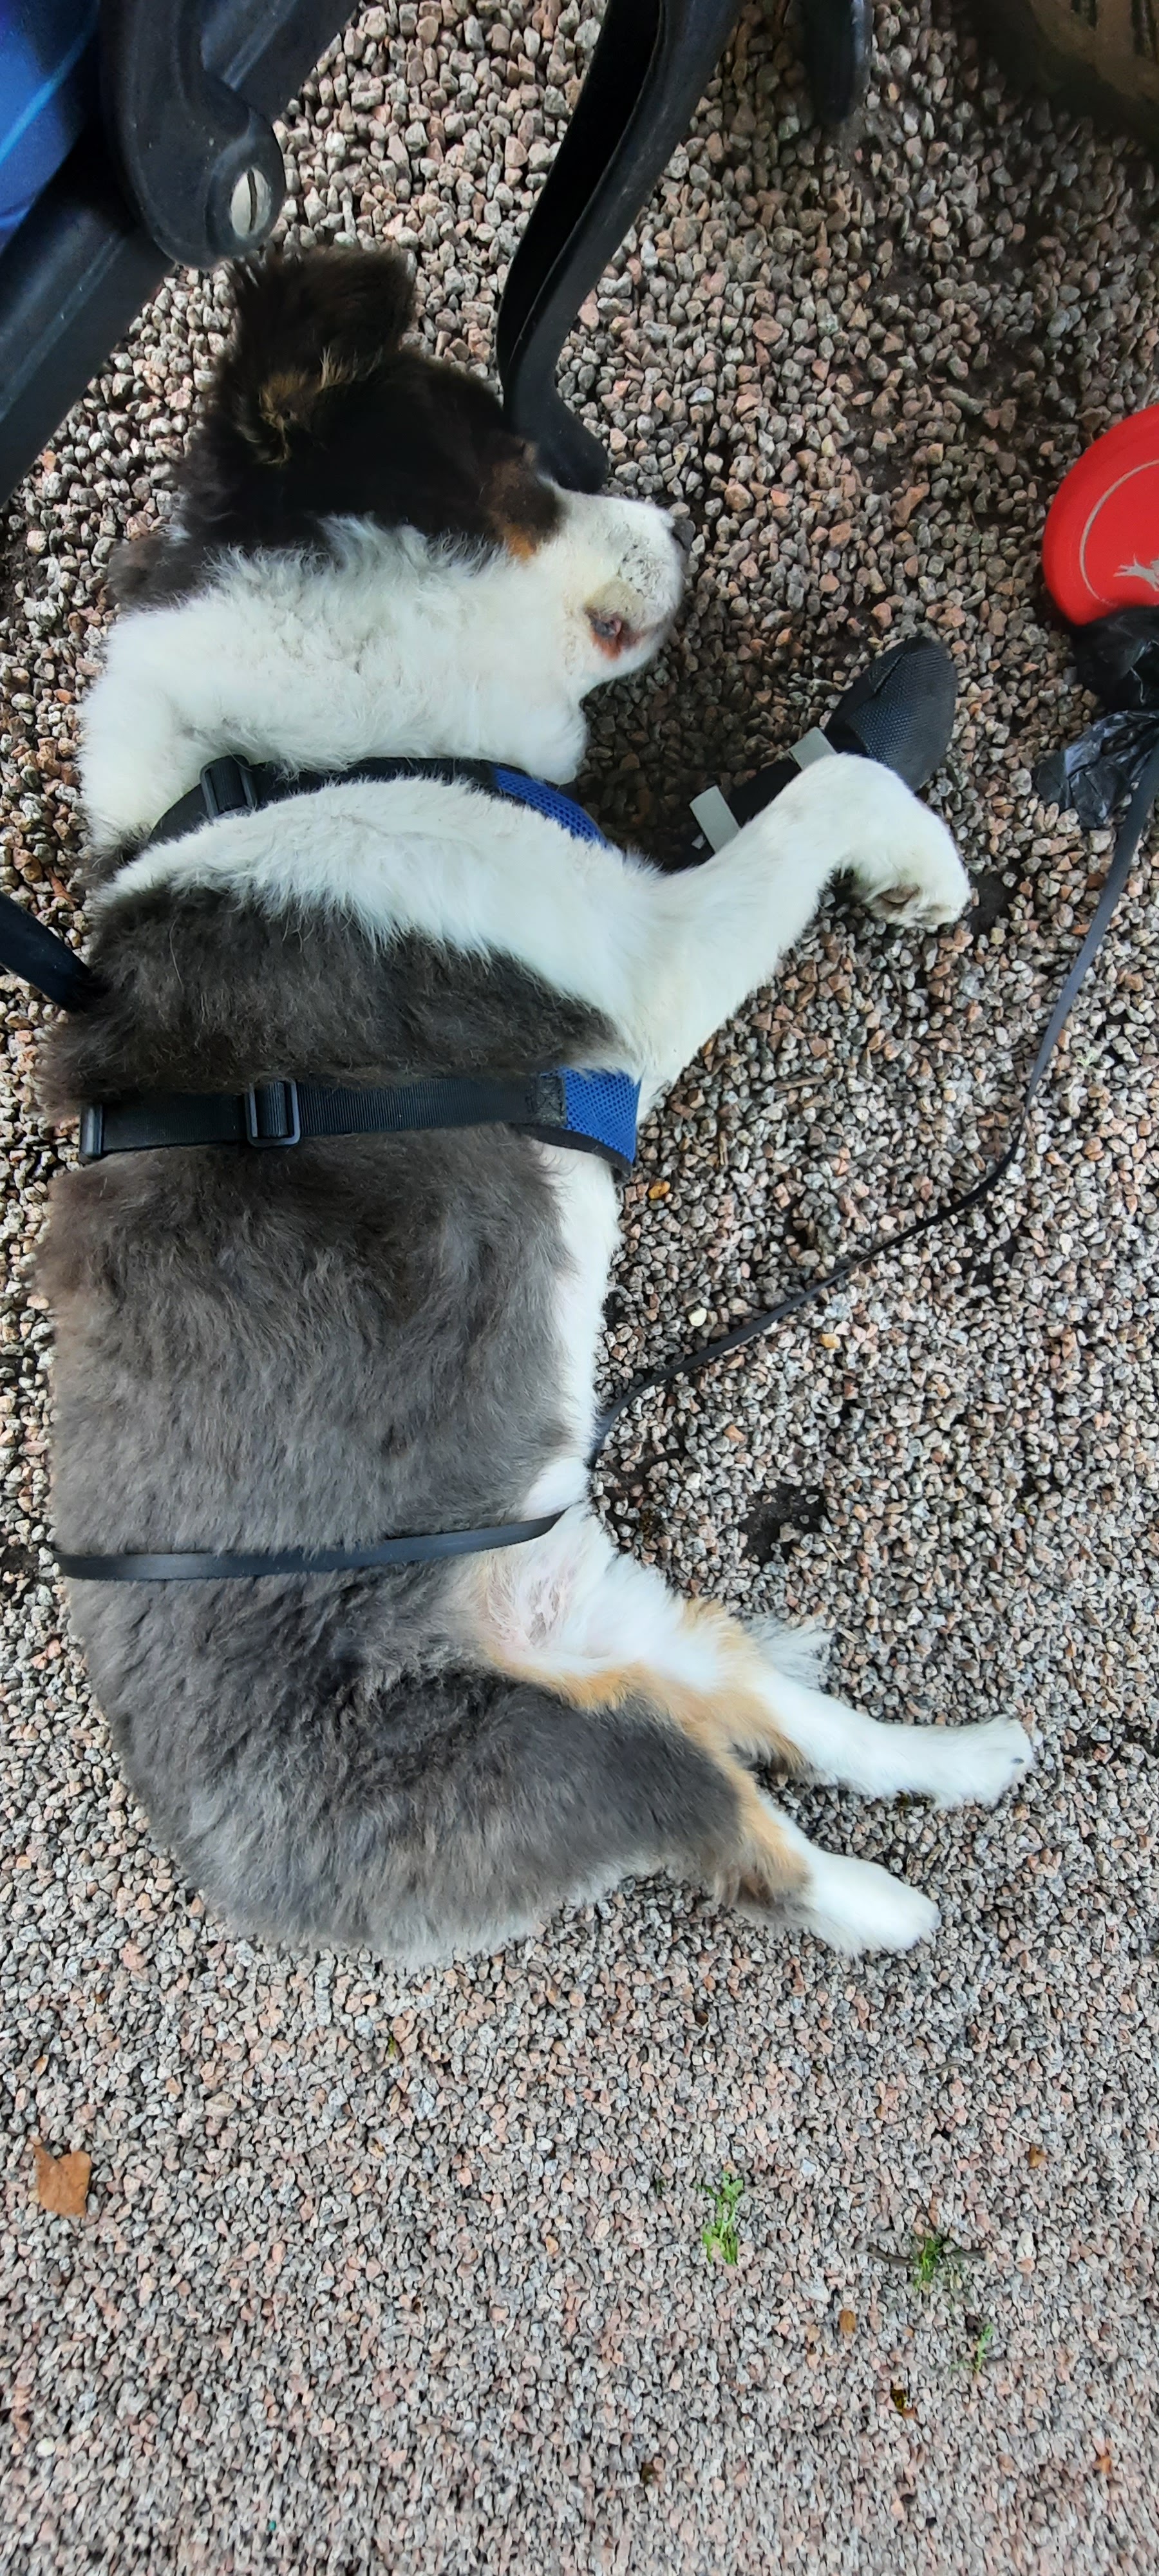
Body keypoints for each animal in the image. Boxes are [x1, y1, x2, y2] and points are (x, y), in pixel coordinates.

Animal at [40, 247, 1031, 1965]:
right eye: (516, 466)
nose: (685, 526)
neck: (283, 754)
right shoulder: (634, 972)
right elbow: (822, 794)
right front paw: (917, 860)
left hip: (623, 1618)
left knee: (782, 1713)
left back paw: (969, 1757)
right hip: (554, 1748)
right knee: (745, 1826)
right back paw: (889, 1904)